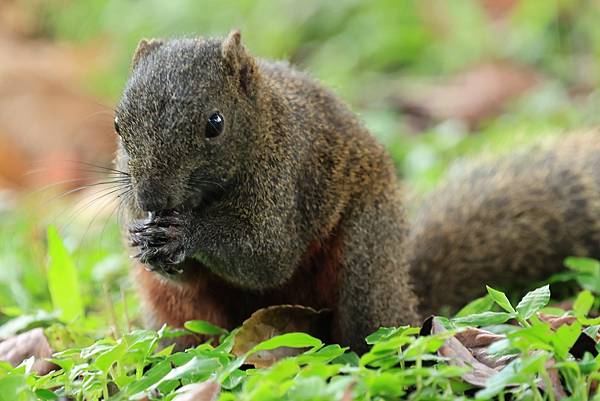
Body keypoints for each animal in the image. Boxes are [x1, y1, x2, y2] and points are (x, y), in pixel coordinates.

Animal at [115, 30, 600, 350]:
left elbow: (266, 255)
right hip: (176, 313)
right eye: (119, 126)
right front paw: (143, 241)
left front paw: (188, 233)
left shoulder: (285, 178)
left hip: (363, 262)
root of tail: (407, 296)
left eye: (214, 124)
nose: (151, 199)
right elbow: (189, 273)